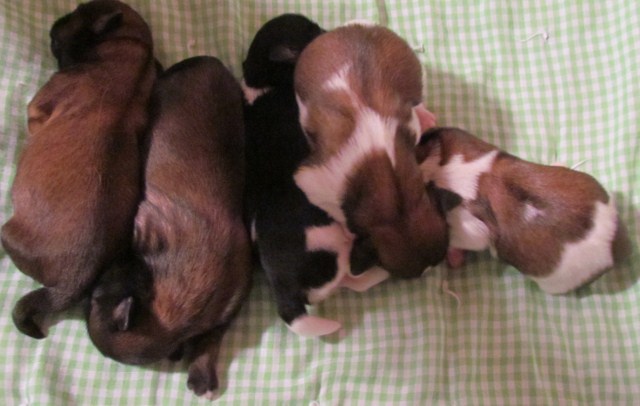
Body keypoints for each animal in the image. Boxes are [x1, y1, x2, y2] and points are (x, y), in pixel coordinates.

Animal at [1, 0, 157, 340]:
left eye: (75, 17)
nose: (56, 22)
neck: (130, 50)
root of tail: (72, 282)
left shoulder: (38, 108)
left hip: (7, 231)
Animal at [242, 13, 388, 336]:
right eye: (313, 33)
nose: (334, 33)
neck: (263, 82)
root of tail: (283, 290)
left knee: (349, 283)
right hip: (331, 249)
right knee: (351, 277)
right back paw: (379, 270)